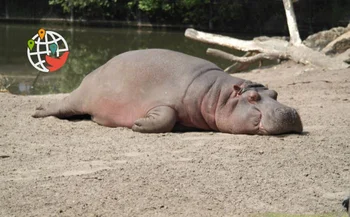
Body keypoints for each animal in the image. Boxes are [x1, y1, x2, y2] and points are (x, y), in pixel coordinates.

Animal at [32, 48, 304, 135]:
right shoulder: (163, 102)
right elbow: (166, 116)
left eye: (275, 94)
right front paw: (139, 124)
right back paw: (37, 111)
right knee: (61, 106)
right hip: (79, 98)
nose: (290, 112)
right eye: (252, 97)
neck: (218, 95)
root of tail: (93, 72)